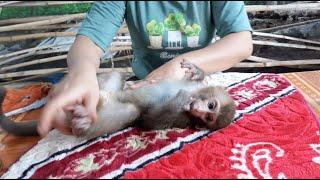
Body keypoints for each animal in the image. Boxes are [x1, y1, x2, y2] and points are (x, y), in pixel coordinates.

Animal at [0, 60, 235, 138]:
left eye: (207, 118)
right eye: (211, 106)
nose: (199, 110)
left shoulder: (182, 119)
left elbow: (151, 119)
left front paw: (181, 99)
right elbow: (194, 81)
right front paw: (196, 71)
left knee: (131, 110)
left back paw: (83, 120)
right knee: (113, 79)